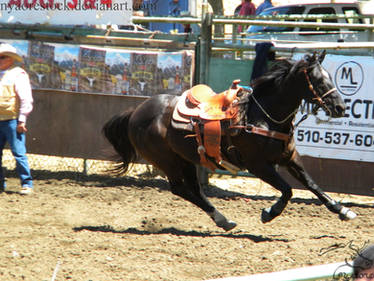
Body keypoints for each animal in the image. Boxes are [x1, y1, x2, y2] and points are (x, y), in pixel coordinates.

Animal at [102, 52, 356, 230]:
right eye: (318, 80)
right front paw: (269, 213)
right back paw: (222, 218)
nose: (340, 108)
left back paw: (221, 219)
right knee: (180, 189)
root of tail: (136, 111)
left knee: (194, 189)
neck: (263, 116)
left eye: (331, 77)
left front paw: (342, 210)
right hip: (167, 162)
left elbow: (312, 184)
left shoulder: (290, 157)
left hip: (185, 159)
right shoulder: (258, 165)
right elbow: (287, 190)